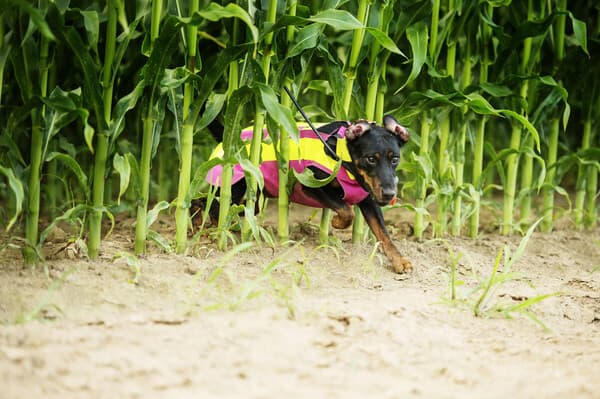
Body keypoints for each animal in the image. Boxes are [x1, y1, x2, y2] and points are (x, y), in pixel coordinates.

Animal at [199, 114, 410, 274]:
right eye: (371, 159)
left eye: (395, 159)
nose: (389, 193)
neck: (342, 155)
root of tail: (229, 139)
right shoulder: (312, 185)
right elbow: (346, 211)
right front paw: (336, 222)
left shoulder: (368, 198)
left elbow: (383, 233)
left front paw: (400, 260)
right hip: (235, 188)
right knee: (210, 205)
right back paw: (214, 233)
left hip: (254, 198)